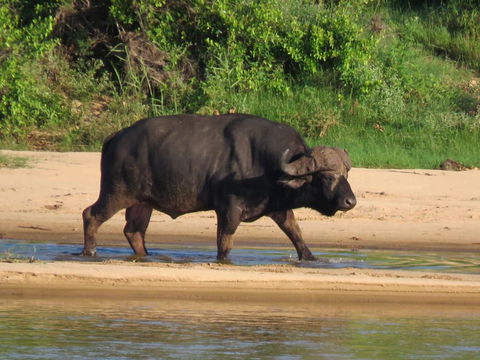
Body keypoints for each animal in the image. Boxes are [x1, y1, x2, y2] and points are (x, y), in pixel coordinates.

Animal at [82, 114, 354, 260]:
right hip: (116, 193)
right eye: (327, 177)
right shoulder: (228, 211)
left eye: (346, 174)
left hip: (142, 203)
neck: (265, 165)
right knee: (91, 215)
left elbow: (296, 234)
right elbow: (224, 244)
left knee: (134, 231)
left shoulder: (278, 208)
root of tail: (115, 138)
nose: (351, 202)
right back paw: (90, 252)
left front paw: (310, 257)